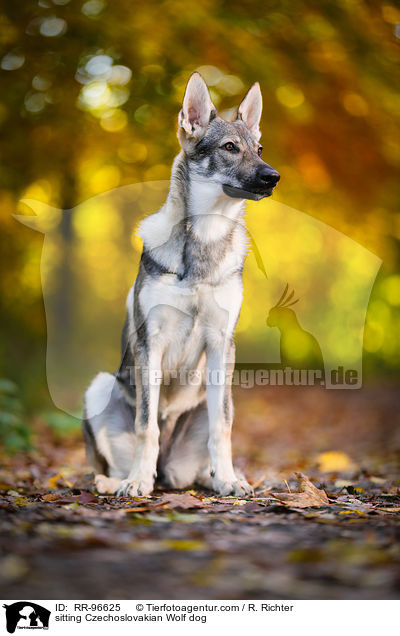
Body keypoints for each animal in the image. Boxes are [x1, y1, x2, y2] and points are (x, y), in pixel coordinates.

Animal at [83, 71, 280, 496]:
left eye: (258, 149)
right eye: (229, 147)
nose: (273, 177)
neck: (205, 238)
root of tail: (168, 471)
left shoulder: (222, 343)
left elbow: (224, 427)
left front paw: (229, 480)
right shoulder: (150, 342)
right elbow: (146, 425)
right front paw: (137, 483)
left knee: (192, 464)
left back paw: (220, 477)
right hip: (99, 386)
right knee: (112, 464)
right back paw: (119, 480)